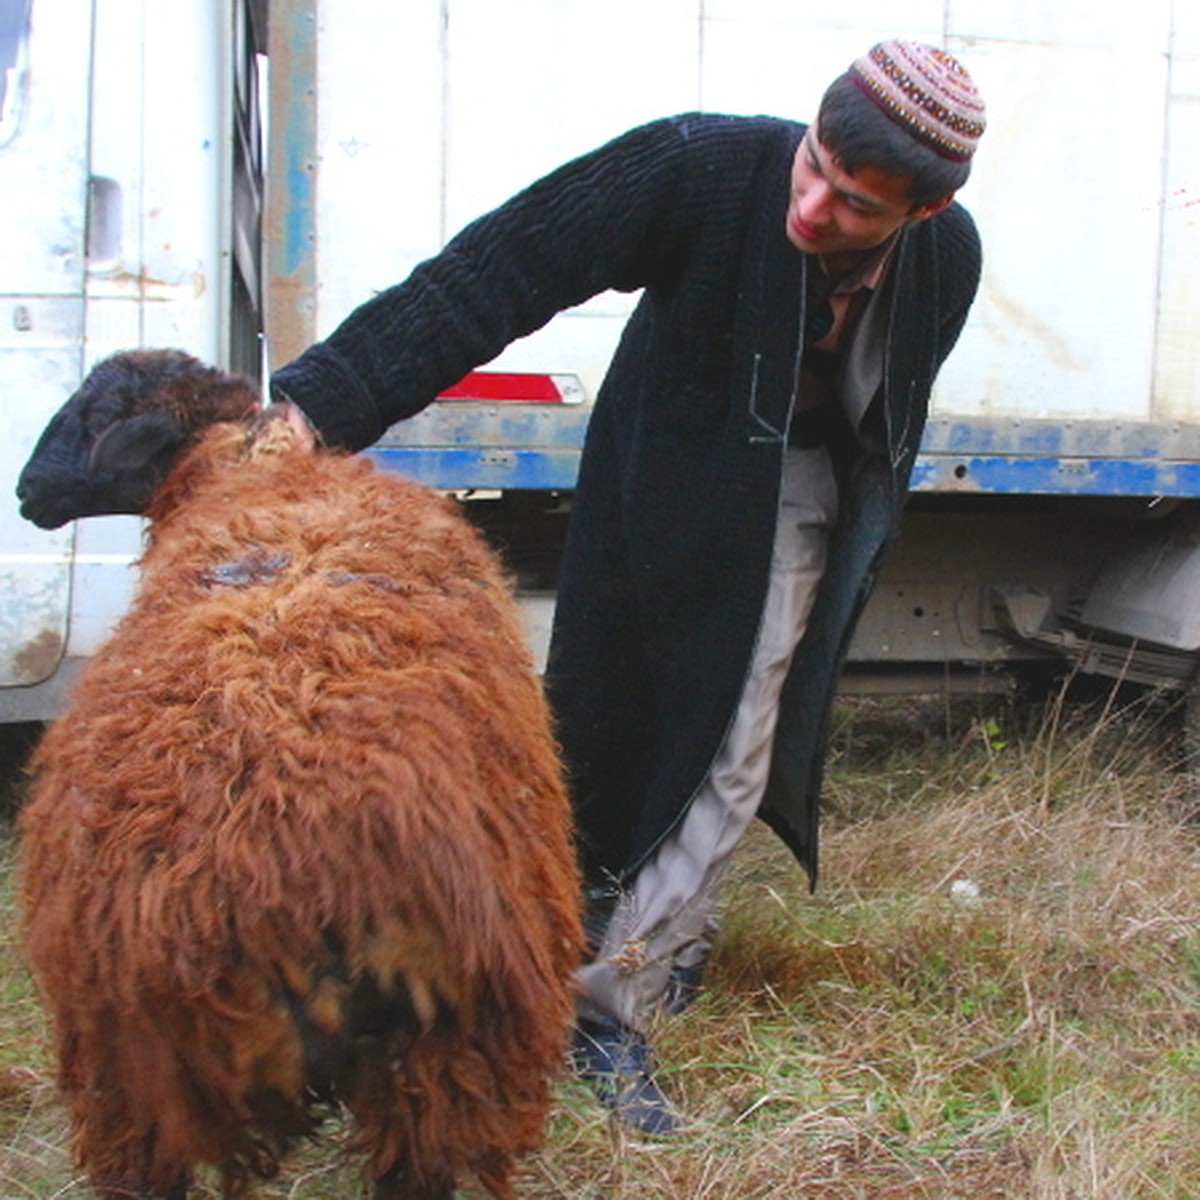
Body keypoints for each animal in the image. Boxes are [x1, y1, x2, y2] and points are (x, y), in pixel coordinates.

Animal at [14, 350, 583, 1200]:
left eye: (94, 414)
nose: (25, 491)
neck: (252, 471)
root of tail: (281, 872)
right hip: (438, 1056)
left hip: (136, 1079)